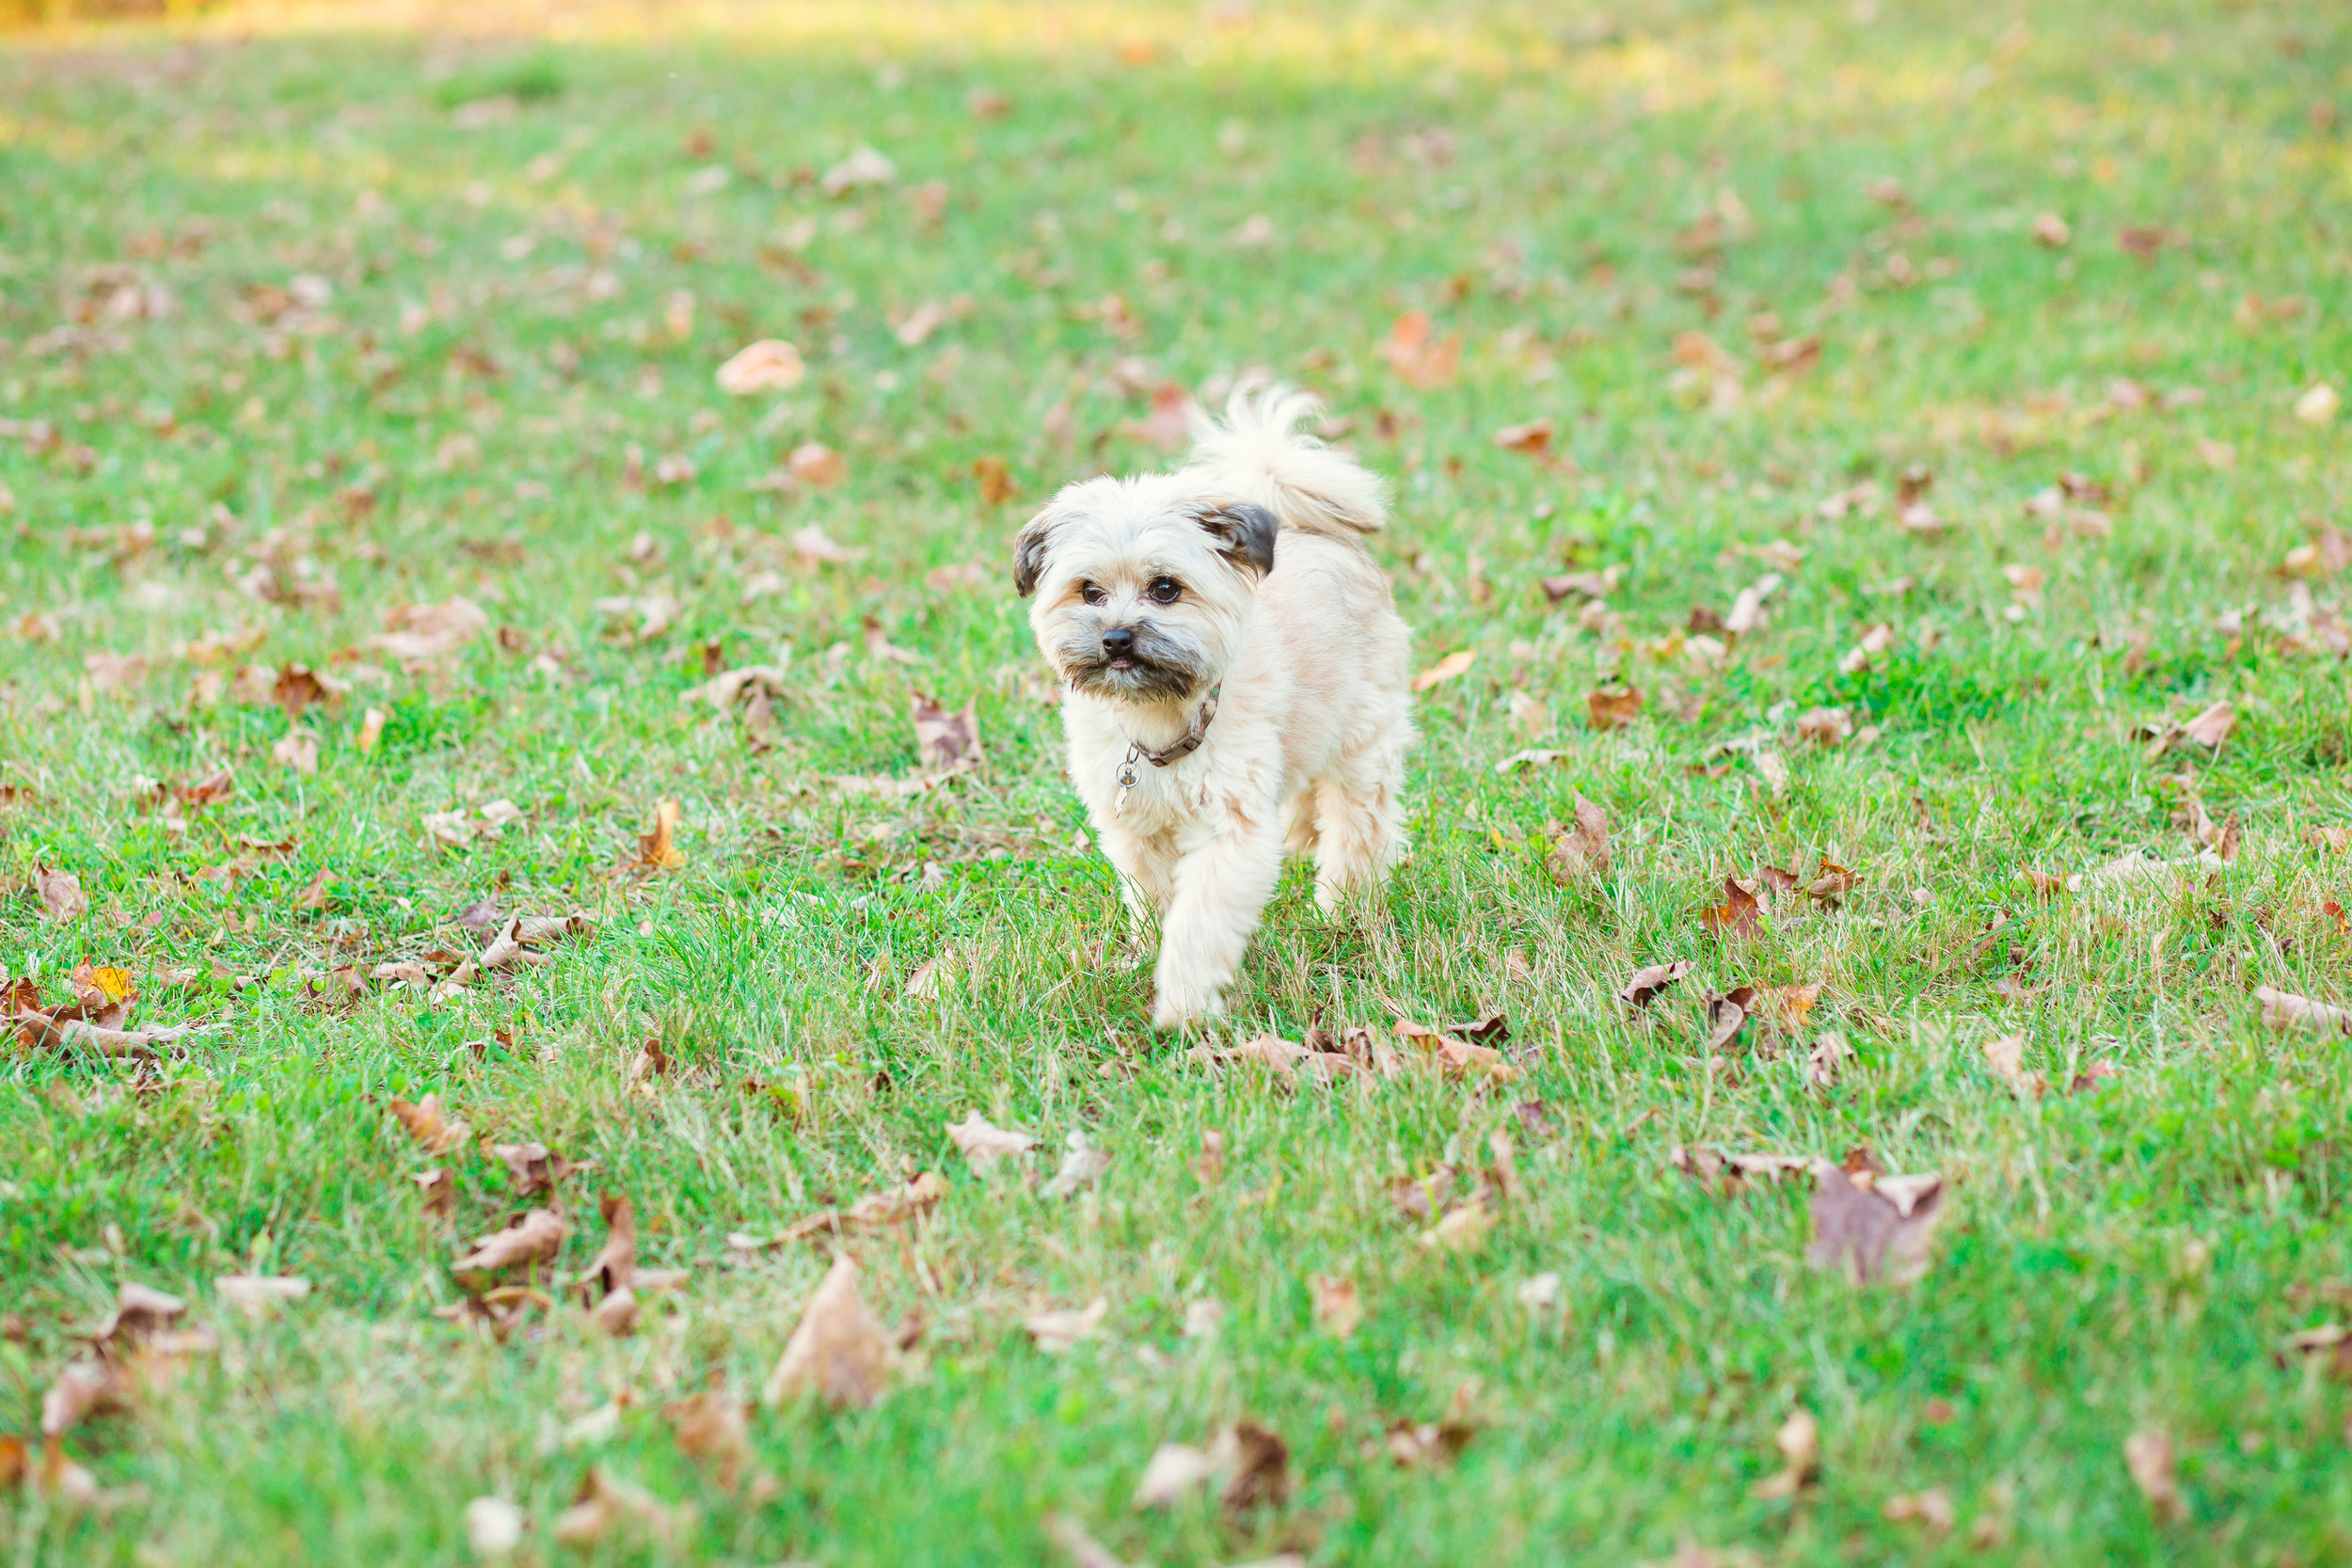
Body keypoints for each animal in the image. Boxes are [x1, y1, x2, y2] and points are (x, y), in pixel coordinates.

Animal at [1016, 385, 1411, 1029]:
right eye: (1089, 591)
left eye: (1165, 589)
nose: (1116, 639)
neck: (1161, 718)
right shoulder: (1138, 832)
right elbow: (1154, 901)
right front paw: (1144, 957)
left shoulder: (1229, 833)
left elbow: (1198, 922)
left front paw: (1182, 1006)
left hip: (1361, 741)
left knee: (1357, 827)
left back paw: (1342, 908)